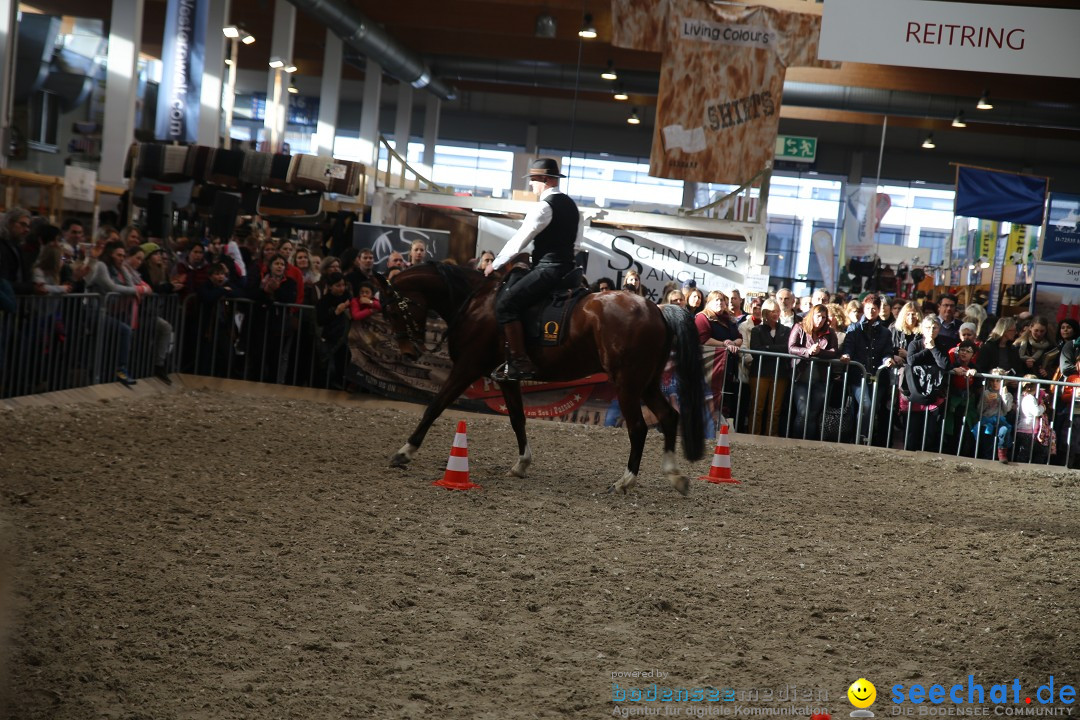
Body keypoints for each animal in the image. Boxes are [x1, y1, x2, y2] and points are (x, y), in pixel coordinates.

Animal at [373, 263, 708, 496]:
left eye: (392, 310)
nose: (409, 352)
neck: (478, 304)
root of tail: (657, 309)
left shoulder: (467, 368)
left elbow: (434, 406)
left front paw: (404, 452)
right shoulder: (506, 377)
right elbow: (517, 418)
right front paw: (521, 463)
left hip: (627, 383)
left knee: (638, 428)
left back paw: (624, 481)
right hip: (646, 382)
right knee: (669, 416)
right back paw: (674, 475)